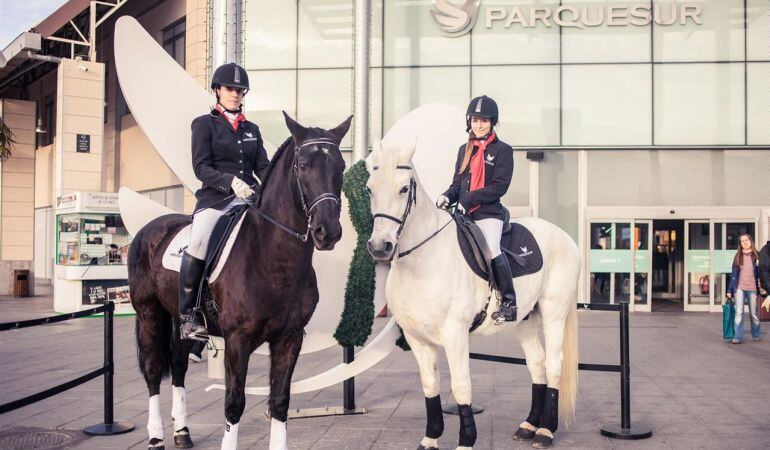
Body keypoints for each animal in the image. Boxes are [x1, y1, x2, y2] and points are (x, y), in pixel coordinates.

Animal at [128, 113, 352, 450]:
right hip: (149, 312)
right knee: (154, 370)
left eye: (341, 166)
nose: (328, 232)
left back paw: (182, 432)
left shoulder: (289, 337)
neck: (274, 260)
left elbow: (280, 401)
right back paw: (156, 437)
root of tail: (150, 229)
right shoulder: (237, 339)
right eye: (302, 166)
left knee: (178, 367)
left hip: (181, 322)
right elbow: (234, 403)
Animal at [364, 142, 576, 448]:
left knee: (554, 365)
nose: (381, 247)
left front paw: (466, 439)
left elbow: (461, 385)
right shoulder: (417, 338)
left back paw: (546, 431)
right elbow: (430, 385)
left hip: (554, 314)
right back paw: (529, 426)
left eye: (404, 189)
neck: (422, 260)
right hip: (526, 319)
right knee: (537, 365)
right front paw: (430, 438)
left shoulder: (455, 334)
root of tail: (565, 236)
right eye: (369, 188)